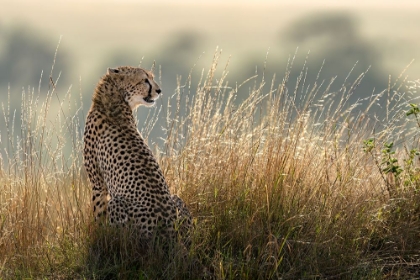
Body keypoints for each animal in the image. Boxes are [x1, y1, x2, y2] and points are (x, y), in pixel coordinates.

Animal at [83, 66, 191, 245]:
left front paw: (96, 238)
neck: (115, 100)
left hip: (118, 204)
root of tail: (171, 234)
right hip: (176, 199)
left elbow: (98, 214)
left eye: (151, 78)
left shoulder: (97, 183)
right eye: (144, 80)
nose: (159, 90)